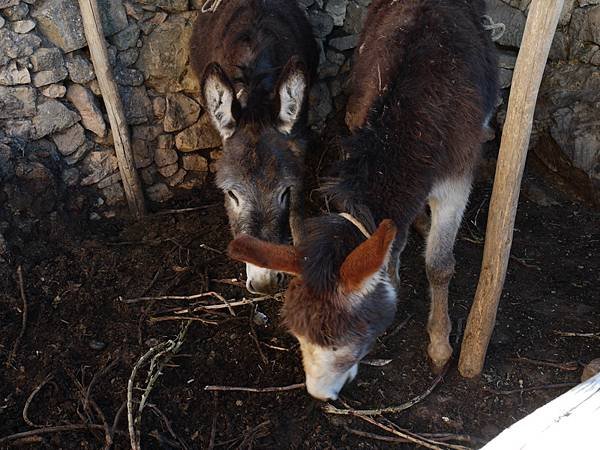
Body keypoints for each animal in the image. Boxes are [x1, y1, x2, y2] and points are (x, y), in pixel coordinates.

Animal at [229, 0, 496, 400]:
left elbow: (439, 265)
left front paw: (439, 344)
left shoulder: (456, 179)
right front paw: (394, 277)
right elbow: (392, 239)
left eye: (345, 340)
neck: (414, 128)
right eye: (299, 337)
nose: (319, 395)